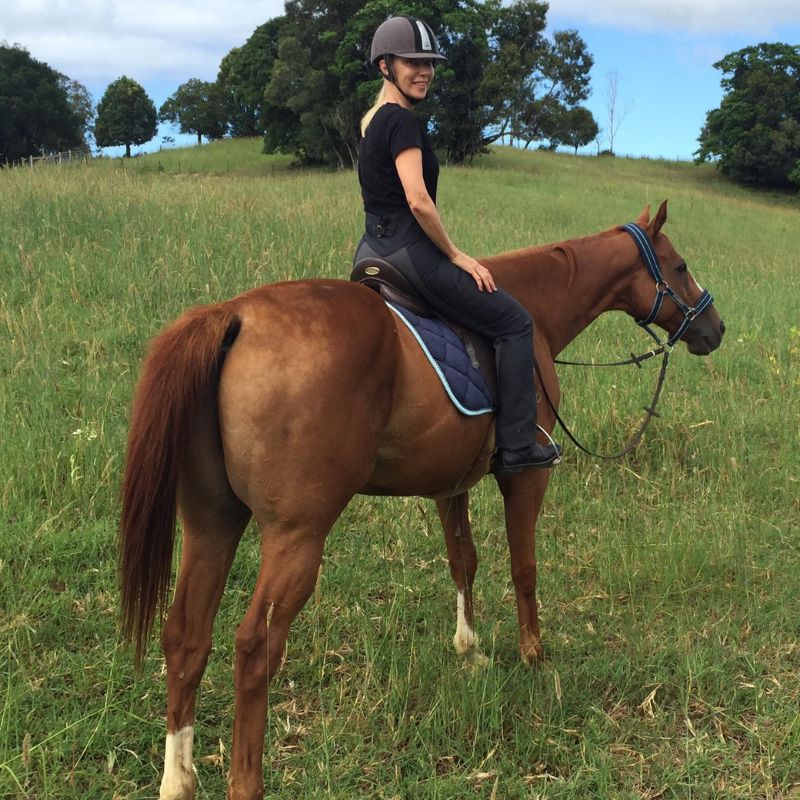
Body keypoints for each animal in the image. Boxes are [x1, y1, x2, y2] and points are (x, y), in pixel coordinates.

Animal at [119, 201, 724, 800]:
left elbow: (464, 562)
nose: (715, 328)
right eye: (679, 266)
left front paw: (470, 649)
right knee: (254, 646)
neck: (535, 307)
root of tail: (235, 315)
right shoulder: (526, 477)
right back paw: (247, 781)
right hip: (295, 536)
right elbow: (524, 565)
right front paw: (533, 654)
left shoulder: (449, 485)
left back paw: (178, 779)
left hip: (211, 523)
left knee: (185, 636)